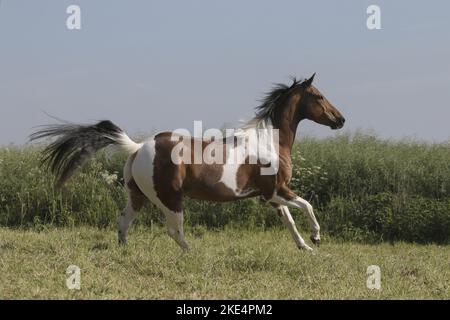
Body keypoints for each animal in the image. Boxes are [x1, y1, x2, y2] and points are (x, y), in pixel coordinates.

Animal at [30, 74, 344, 251]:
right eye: (318, 96)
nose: (340, 119)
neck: (269, 142)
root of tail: (138, 147)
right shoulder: (276, 191)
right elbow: (307, 206)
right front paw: (316, 237)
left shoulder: (273, 196)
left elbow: (290, 221)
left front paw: (305, 247)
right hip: (169, 198)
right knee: (173, 229)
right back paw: (191, 252)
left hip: (138, 195)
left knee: (123, 221)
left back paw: (124, 251)